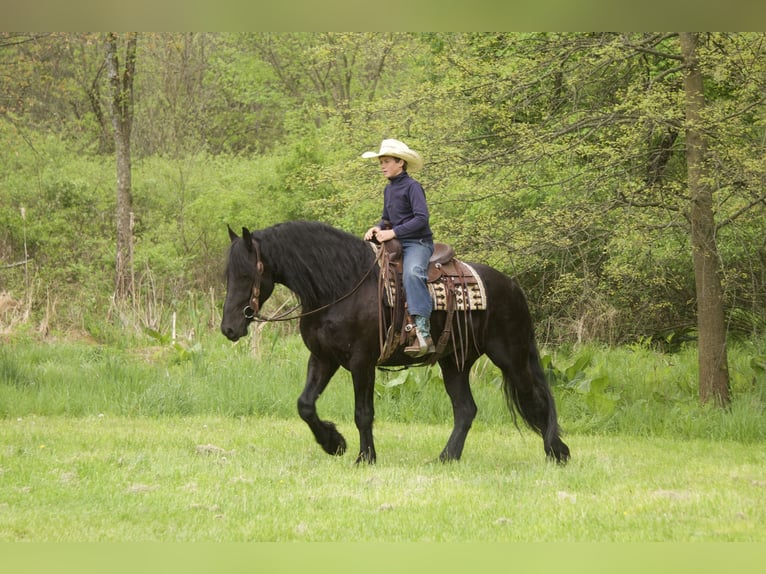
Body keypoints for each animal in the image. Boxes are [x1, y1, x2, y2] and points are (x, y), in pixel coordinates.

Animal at [221, 220, 570, 465]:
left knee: (537, 398)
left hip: (511, 356)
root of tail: (511, 286)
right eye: (228, 276)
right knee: (466, 409)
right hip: (454, 362)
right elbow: (305, 405)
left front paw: (365, 458)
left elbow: (363, 412)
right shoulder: (323, 358)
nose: (229, 328)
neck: (340, 287)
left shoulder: (361, 361)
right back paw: (446, 458)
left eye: (246, 275)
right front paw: (334, 444)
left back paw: (557, 452)